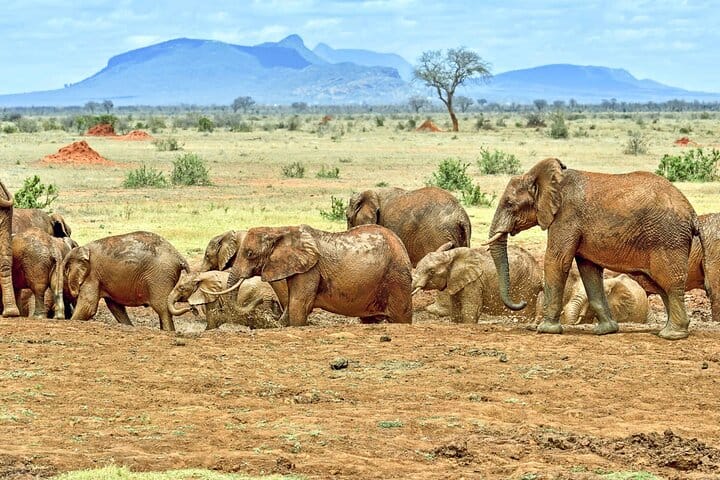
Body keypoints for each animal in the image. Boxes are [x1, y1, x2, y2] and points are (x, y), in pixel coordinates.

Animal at [209, 224, 413, 326]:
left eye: (250, 254)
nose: (264, 301)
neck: (279, 230)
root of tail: (401, 244)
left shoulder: (310, 270)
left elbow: (298, 304)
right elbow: (293, 303)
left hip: (396, 276)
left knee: (401, 316)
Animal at [412, 243, 543, 324]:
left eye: (431, 272)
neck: (451, 255)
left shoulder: (474, 283)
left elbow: (470, 310)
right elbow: (456, 311)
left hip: (526, 287)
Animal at [486, 157, 699, 340]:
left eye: (509, 203)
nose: (522, 303)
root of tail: (692, 213)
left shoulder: (566, 216)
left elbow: (557, 261)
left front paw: (545, 330)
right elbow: (589, 270)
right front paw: (606, 331)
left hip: (668, 237)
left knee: (670, 283)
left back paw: (672, 335)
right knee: (661, 285)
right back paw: (668, 330)